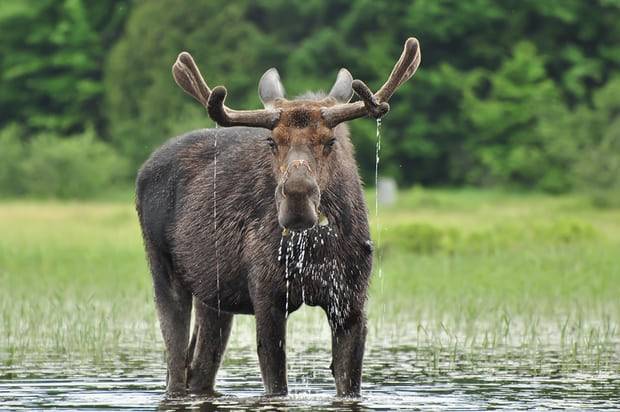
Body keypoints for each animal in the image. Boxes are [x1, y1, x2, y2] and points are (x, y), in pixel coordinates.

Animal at [137, 37, 422, 398]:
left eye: (330, 141)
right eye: (272, 141)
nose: (297, 196)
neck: (317, 249)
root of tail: (143, 169)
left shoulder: (351, 302)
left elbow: (348, 383)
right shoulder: (268, 297)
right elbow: (276, 382)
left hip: (212, 295)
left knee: (200, 368)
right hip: (163, 269)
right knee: (175, 366)